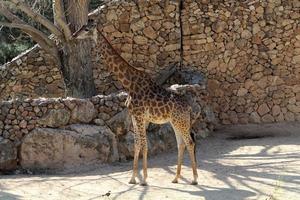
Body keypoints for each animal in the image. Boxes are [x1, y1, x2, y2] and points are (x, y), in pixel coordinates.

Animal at [74, 22, 198, 186]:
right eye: (81, 27)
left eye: (86, 29)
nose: (73, 35)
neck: (129, 83)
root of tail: (189, 107)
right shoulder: (135, 116)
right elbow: (137, 144)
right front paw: (133, 178)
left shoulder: (139, 116)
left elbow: (144, 144)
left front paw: (144, 179)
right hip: (175, 122)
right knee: (181, 144)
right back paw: (176, 178)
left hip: (181, 121)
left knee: (189, 142)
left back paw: (194, 179)